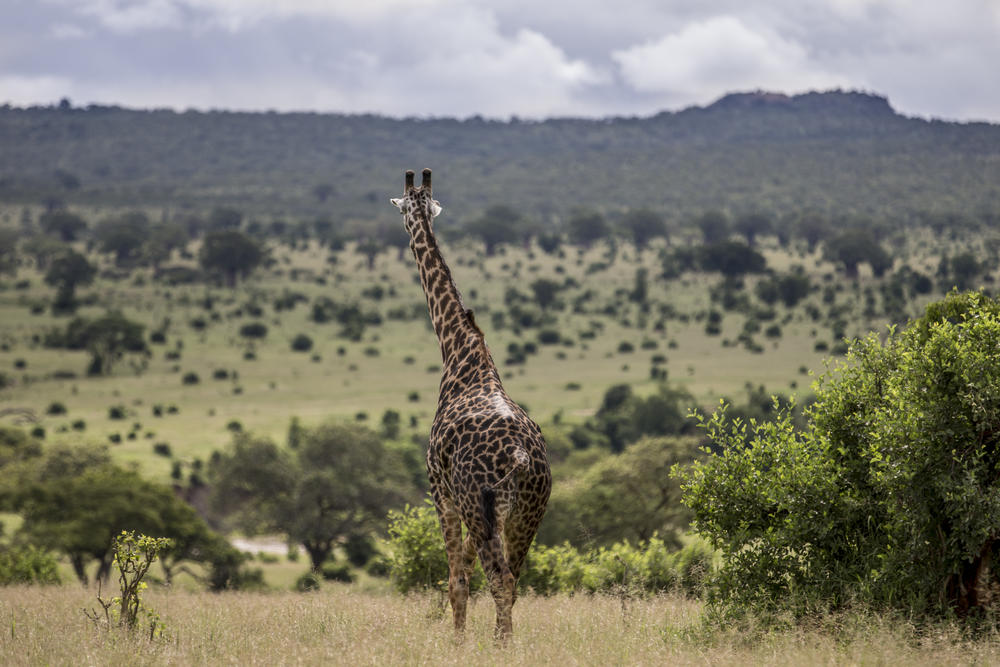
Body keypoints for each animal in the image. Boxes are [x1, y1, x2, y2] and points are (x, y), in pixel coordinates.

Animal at [390, 167, 552, 640]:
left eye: (405, 211)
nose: (406, 230)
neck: (459, 350)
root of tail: (520, 457)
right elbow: (463, 566)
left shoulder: (439, 487)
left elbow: (456, 578)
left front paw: (457, 641)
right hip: (527, 514)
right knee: (513, 579)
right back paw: (503, 640)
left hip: (485, 509)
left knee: (499, 578)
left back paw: (501, 645)